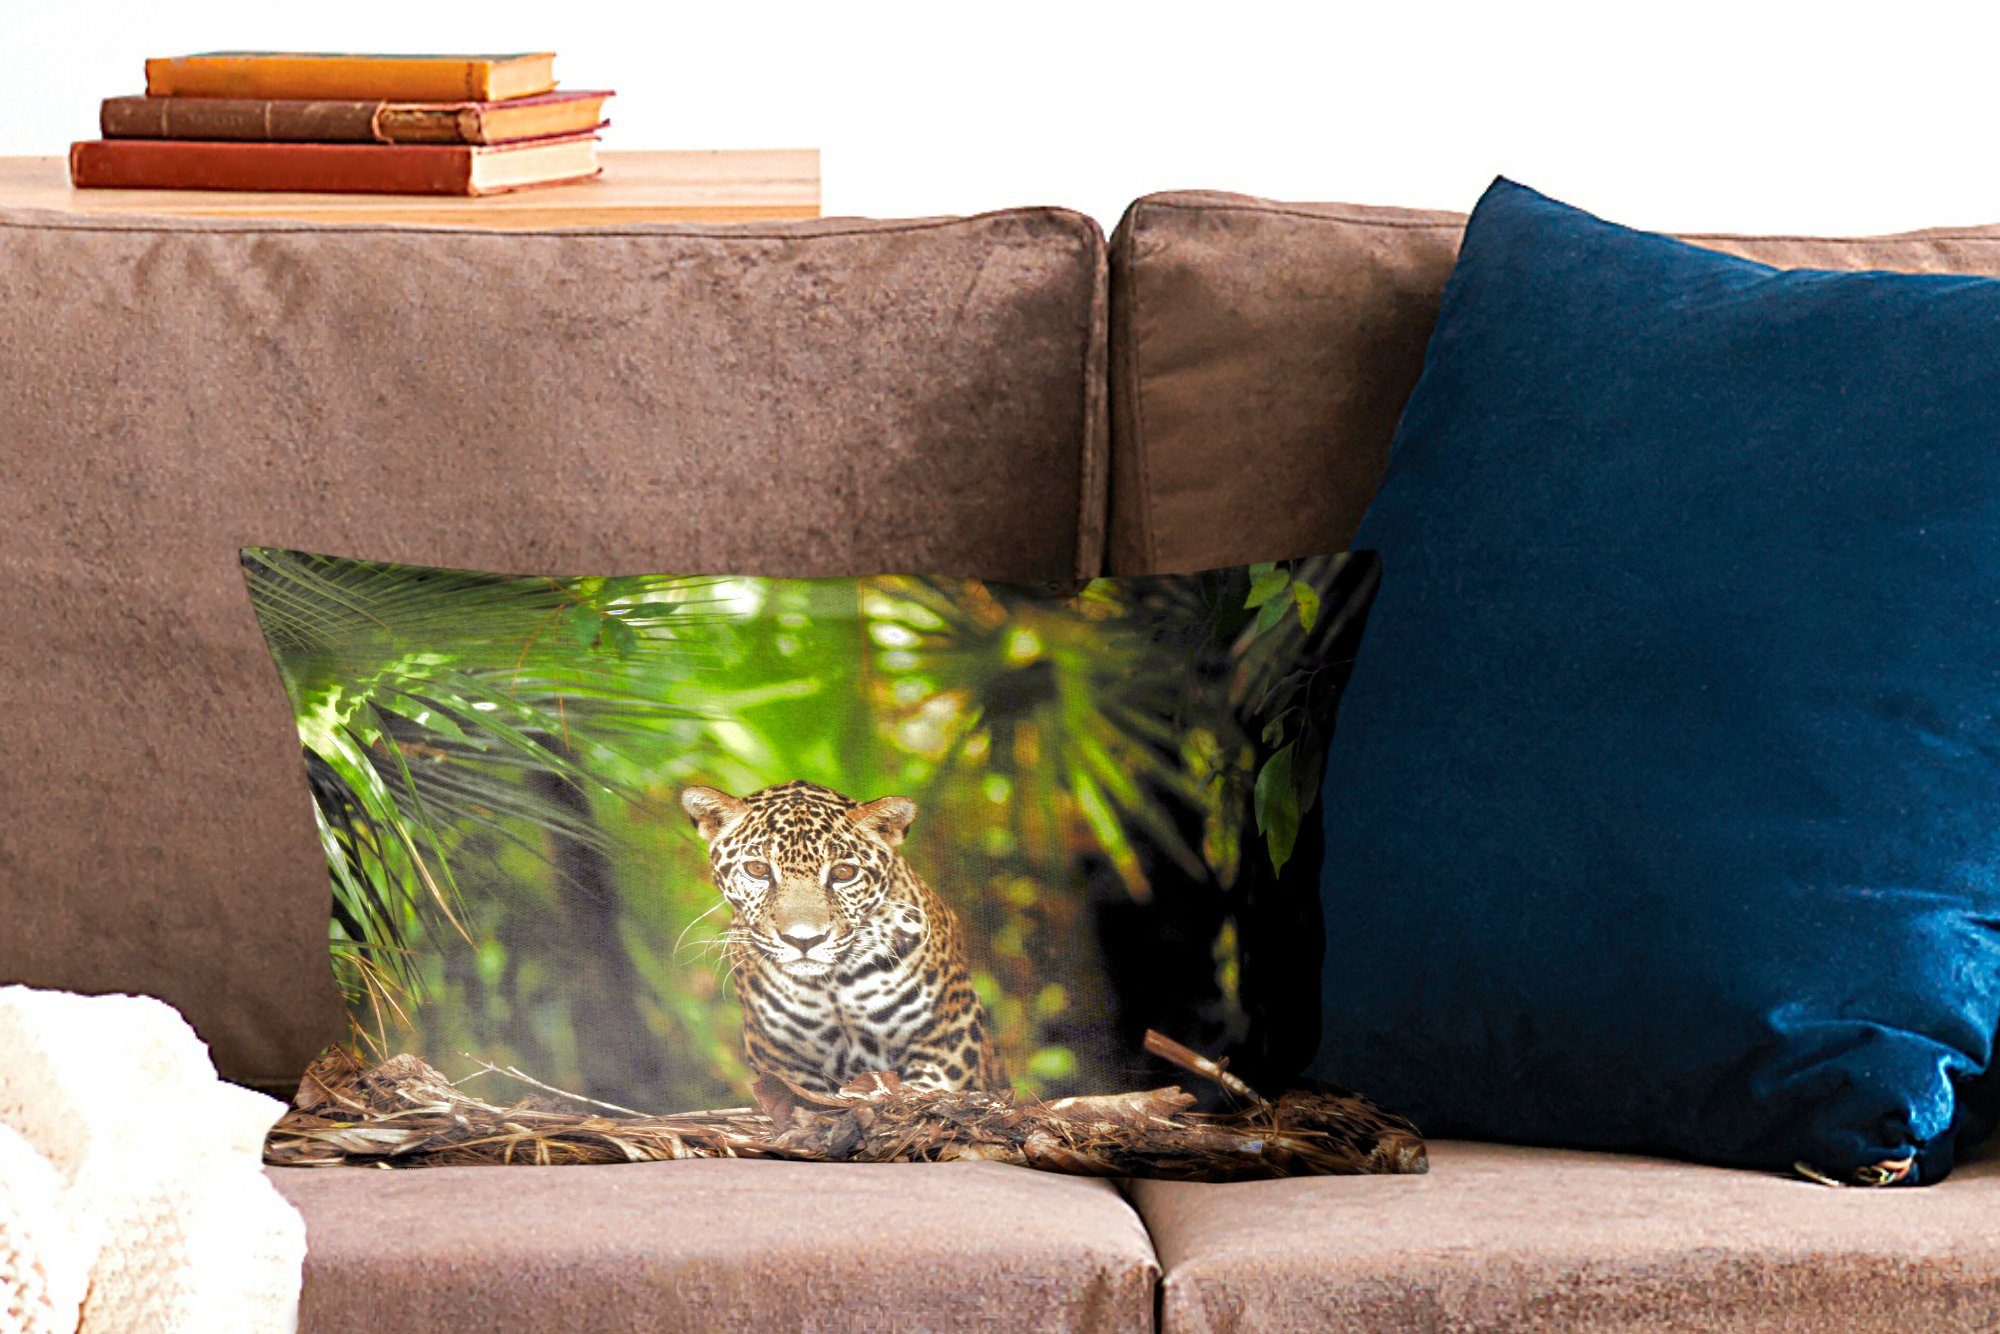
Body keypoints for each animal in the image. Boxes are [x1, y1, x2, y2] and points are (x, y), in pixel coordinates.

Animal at [680, 779, 1006, 1096]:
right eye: (757, 869)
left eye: (844, 873)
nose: (803, 940)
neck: (833, 985)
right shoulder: (779, 1054)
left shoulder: (952, 1030)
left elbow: (930, 1088)